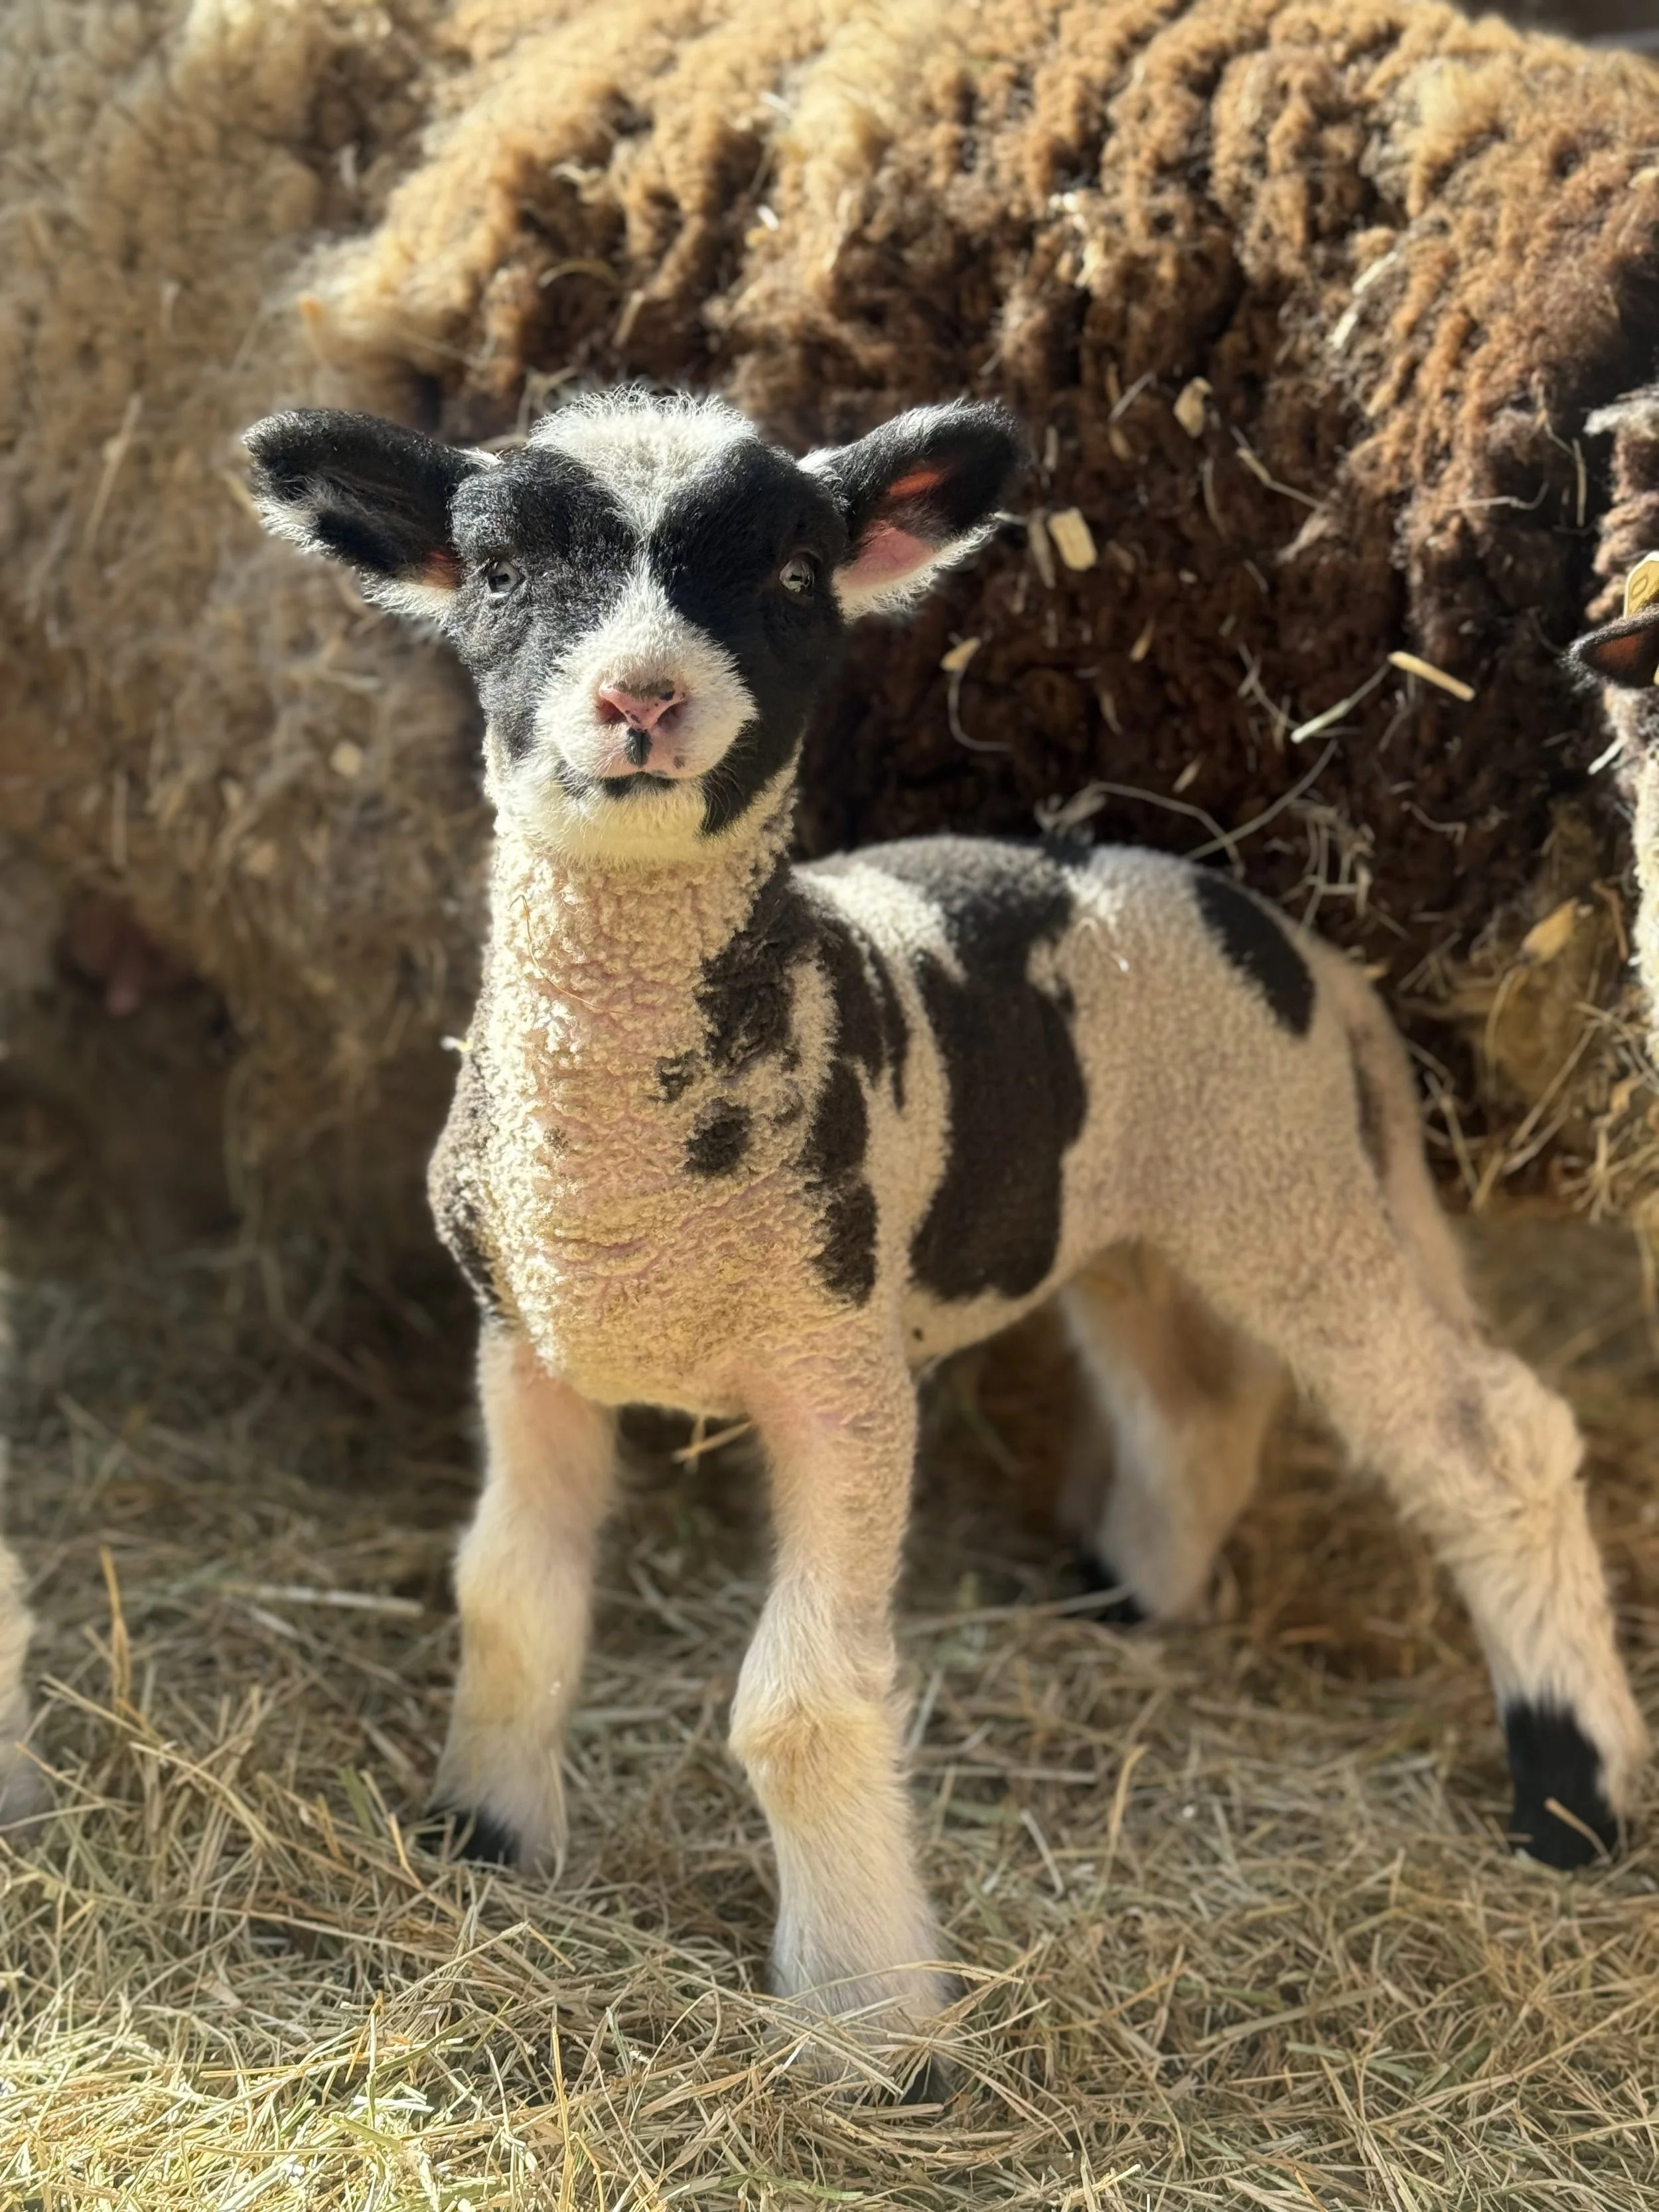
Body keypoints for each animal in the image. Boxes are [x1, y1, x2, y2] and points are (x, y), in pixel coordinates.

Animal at [241, 386, 1650, 2055]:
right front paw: (484, 1839)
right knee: (1195, 1402)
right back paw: (1127, 1600)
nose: (641, 700)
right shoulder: (524, 1340)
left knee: (1492, 1440)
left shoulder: (840, 1371)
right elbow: (510, 1597)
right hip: (1133, 1214)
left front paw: (869, 2016)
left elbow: (796, 1699)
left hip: (1283, 1176)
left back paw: (1574, 1794)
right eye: (502, 570)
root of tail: (1293, 946)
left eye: (791, 575)